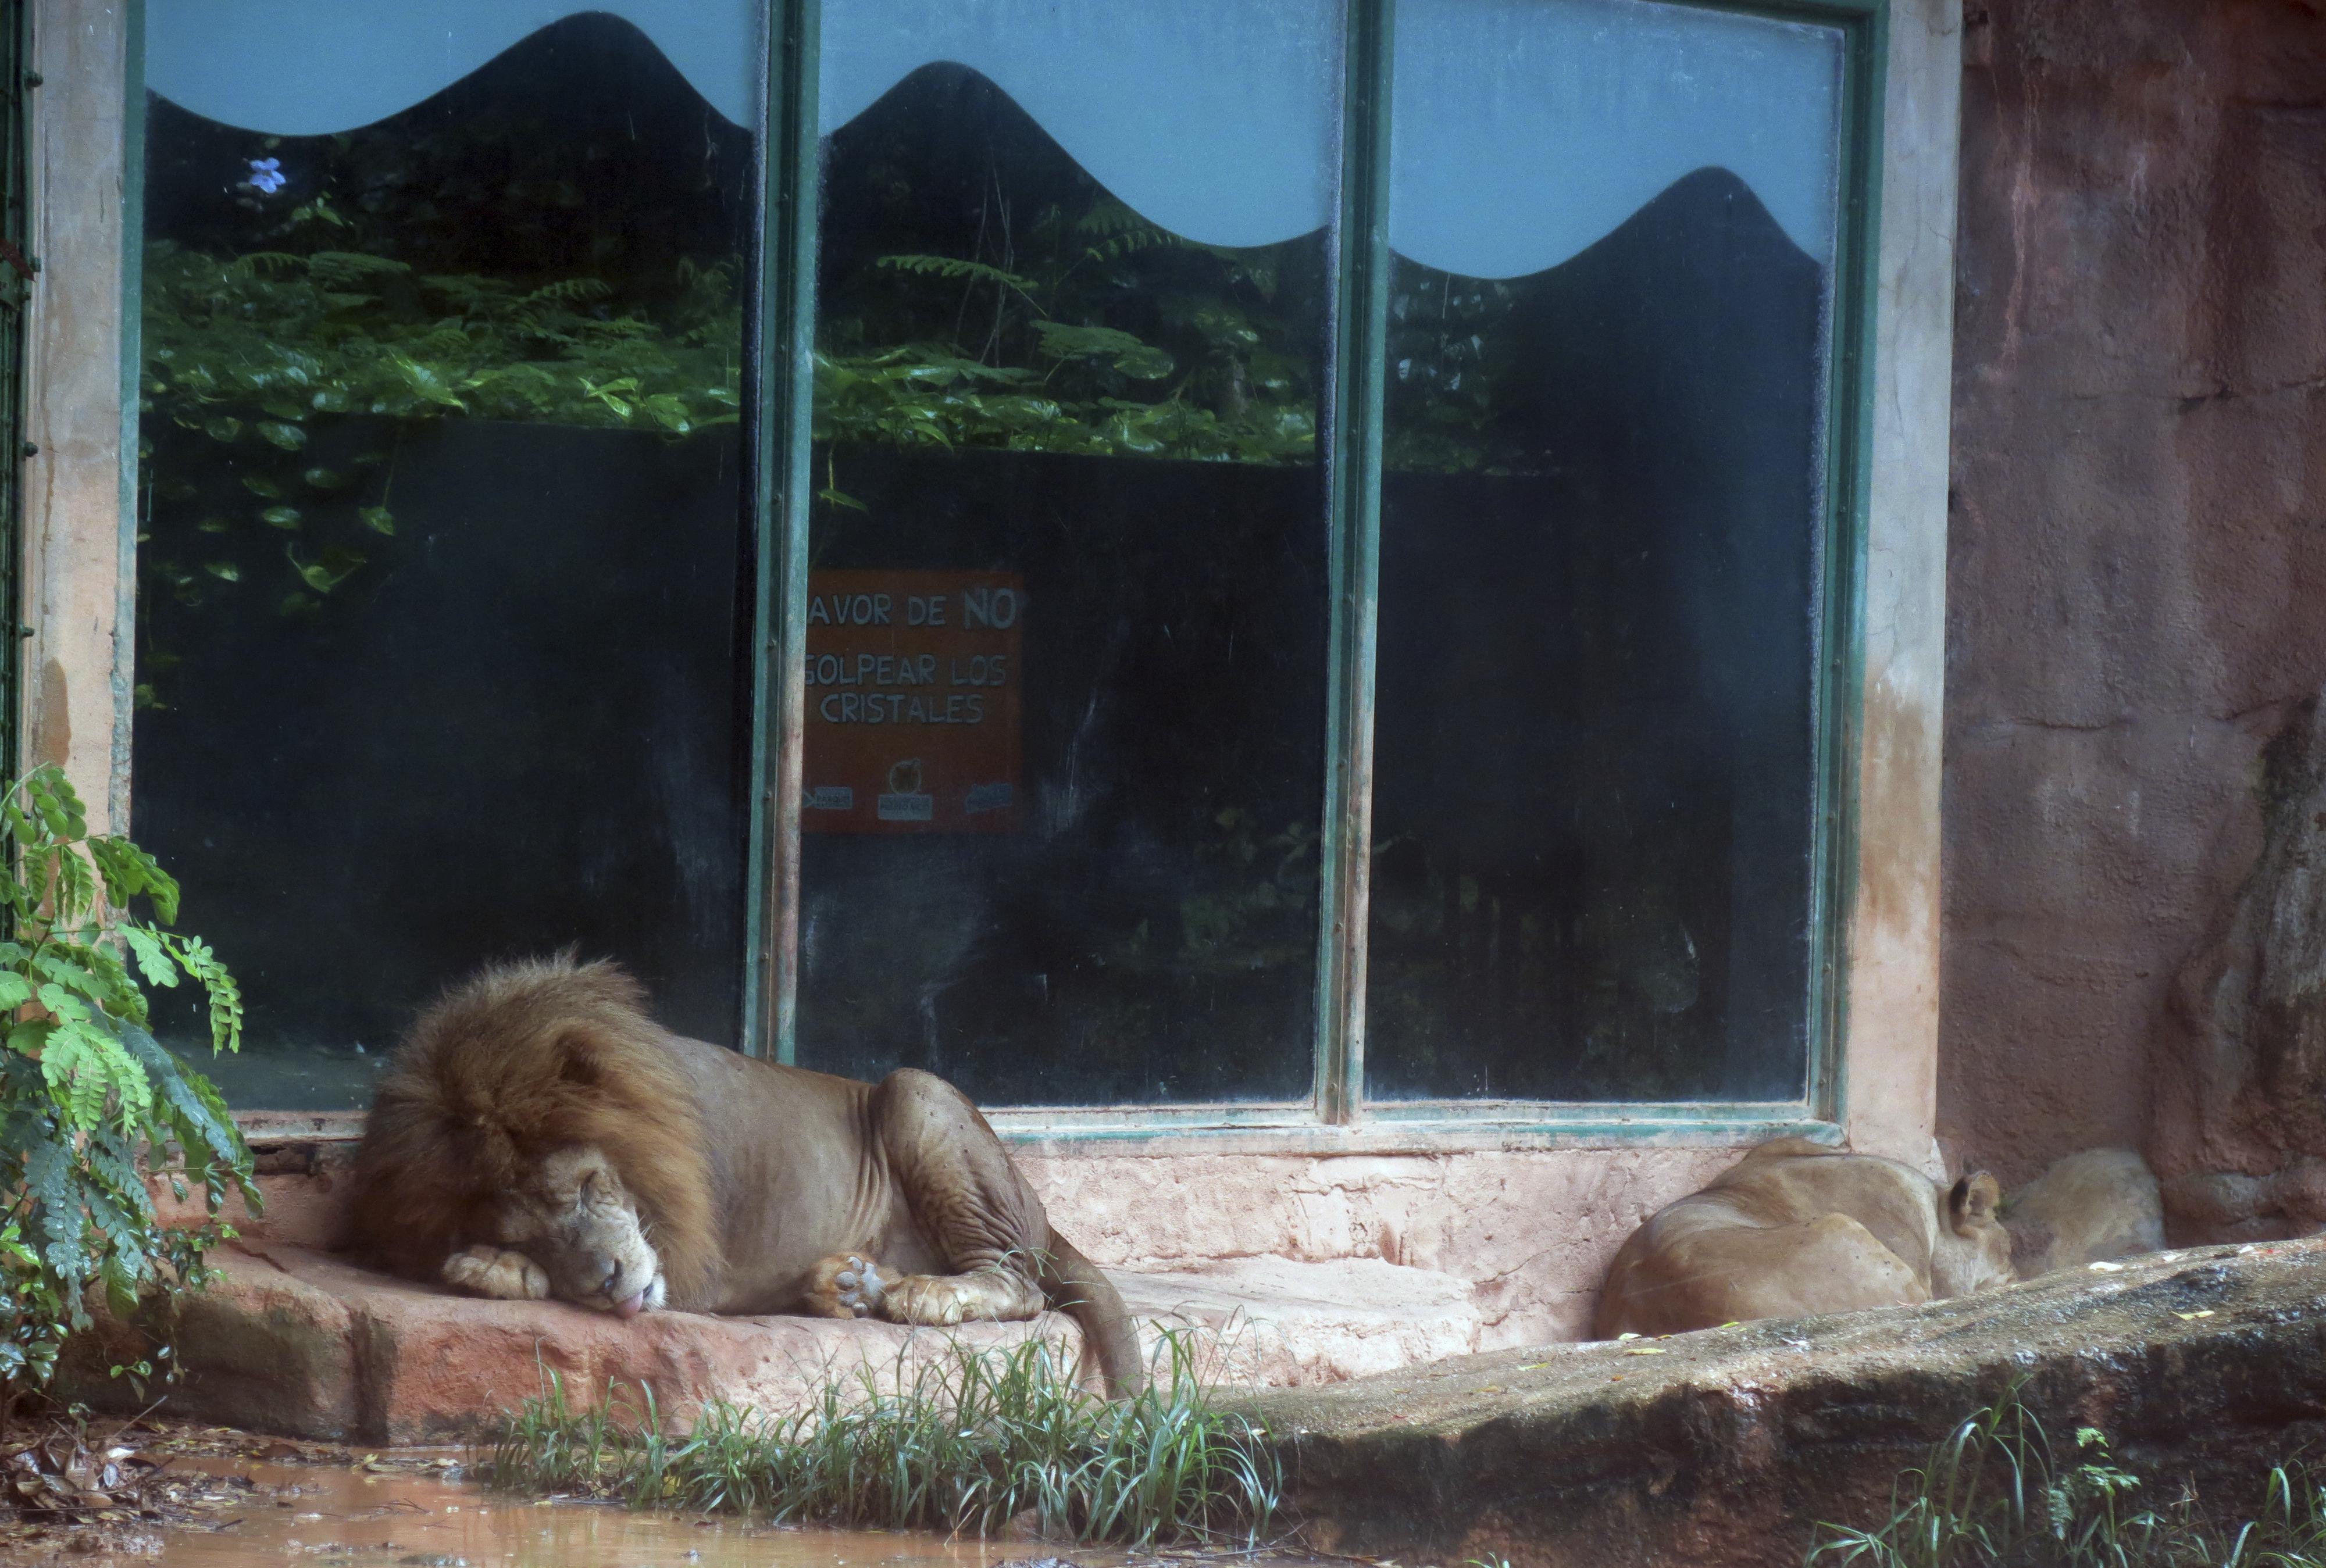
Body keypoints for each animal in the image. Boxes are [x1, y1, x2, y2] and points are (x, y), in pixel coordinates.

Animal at [342, 953, 1144, 1395]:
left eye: (585, 1187)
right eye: (527, 1234)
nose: (608, 1283)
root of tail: (1045, 1214)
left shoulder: (695, 1264)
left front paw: (489, 1271)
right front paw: (492, 1267)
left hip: (917, 1093)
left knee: (1023, 1285)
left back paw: (920, 1294)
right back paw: (851, 1285)